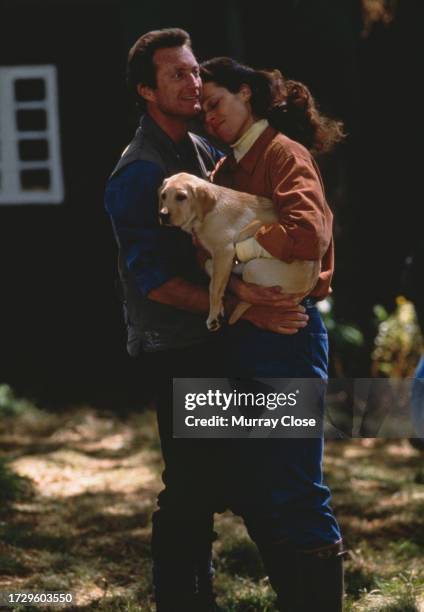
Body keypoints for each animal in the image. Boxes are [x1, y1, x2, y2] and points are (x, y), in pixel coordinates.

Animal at [158, 172, 318, 332]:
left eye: (181, 197)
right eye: (163, 196)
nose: (162, 215)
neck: (207, 213)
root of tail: (305, 291)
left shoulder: (224, 251)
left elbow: (214, 288)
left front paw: (213, 316)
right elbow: (217, 283)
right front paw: (219, 309)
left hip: (252, 267)